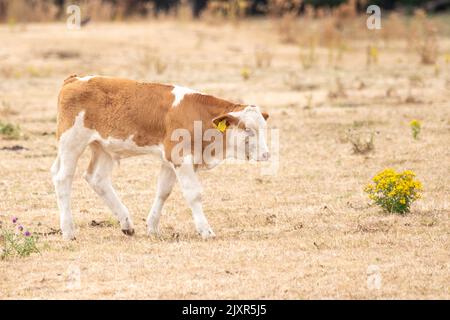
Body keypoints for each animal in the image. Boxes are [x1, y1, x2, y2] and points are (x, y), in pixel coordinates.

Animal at [52, 75, 270, 240]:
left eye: (264, 128)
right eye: (247, 129)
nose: (266, 154)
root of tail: (75, 79)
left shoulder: (169, 160)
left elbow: (163, 192)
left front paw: (152, 227)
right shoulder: (180, 157)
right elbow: (193, 194)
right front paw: (205, 230)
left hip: (103, 147)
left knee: (97, 179)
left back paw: (126, 223)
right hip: (71, 142)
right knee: (63, 179)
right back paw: (68, 230)